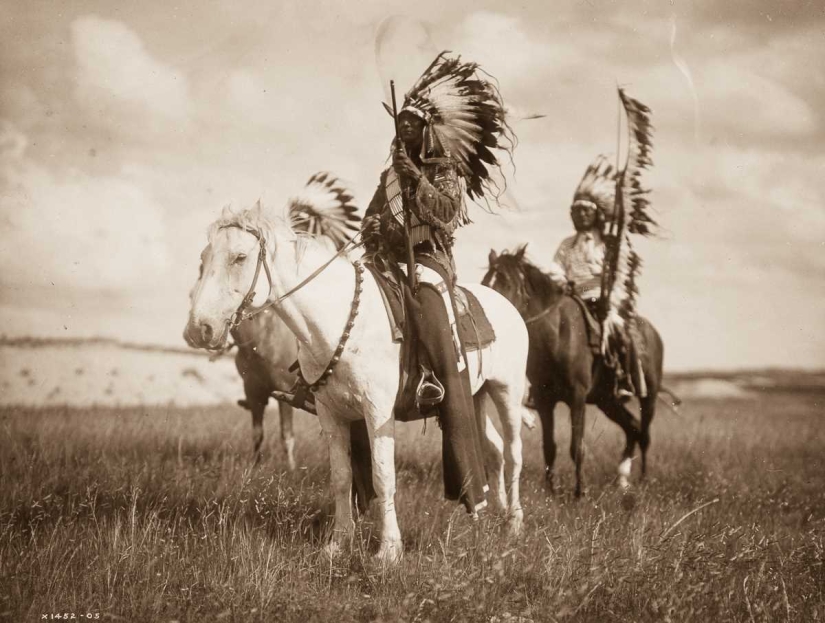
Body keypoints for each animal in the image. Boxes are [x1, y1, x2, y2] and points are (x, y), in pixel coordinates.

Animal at [186, 202, 532, 564]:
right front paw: (338, 544)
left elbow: (382, 477)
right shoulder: (331, 414)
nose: (199, 329)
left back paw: (513, 523)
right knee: (494, 449)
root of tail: (506, 305)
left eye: (239, 257)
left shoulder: (377, 412)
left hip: (506, 393)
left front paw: (389, 551)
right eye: (204, 257)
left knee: (513, 452)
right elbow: (341, 478)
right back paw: (494, 511)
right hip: (476, 397)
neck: (338, 319)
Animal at [482, 246, 668, 494]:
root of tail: (652, 333)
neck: (558, 335)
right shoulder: (544, 400)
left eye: (507, 282)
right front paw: (551, 491)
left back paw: (643, 479)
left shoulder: (577, 397)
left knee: (645, 434)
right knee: (633, 428)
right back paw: (622, 480)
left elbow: (576, 447)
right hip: (607, 401)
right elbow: (549, 447)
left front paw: (580, 492)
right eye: (485, 281)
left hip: (649, 396)